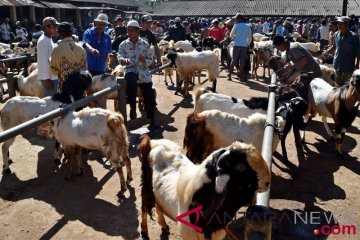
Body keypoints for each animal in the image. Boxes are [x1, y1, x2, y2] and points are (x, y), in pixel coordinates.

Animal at [139, 135, 272, 240]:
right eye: (240, 167)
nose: (267, 182)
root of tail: (153, 142)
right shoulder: (189, 234)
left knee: (157, 203)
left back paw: (164, 226)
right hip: (146, 184)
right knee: (144, 206)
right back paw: (144, 232)